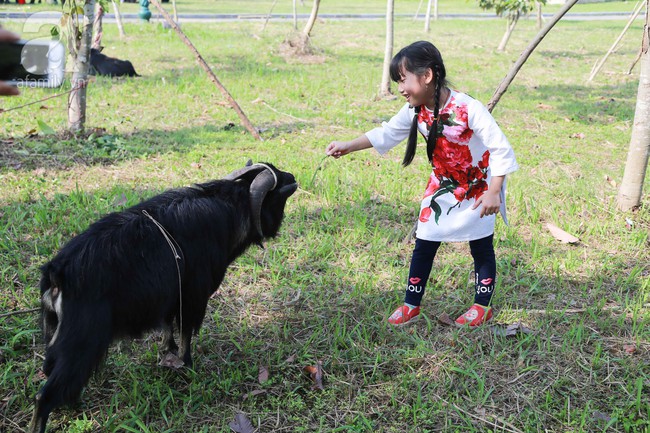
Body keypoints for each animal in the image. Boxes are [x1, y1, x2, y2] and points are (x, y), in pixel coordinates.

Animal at [28, 161, 296, 432]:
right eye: (278, 190)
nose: (293, 177)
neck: (228, 209)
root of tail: (57, 274)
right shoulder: (192, 297)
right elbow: (186, 331)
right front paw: (186, 363)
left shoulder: (170, 298)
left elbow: (168, 327)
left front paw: (169, 350)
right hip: (82, 343)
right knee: (45, 396)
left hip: (56, 335)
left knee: (50, 370)